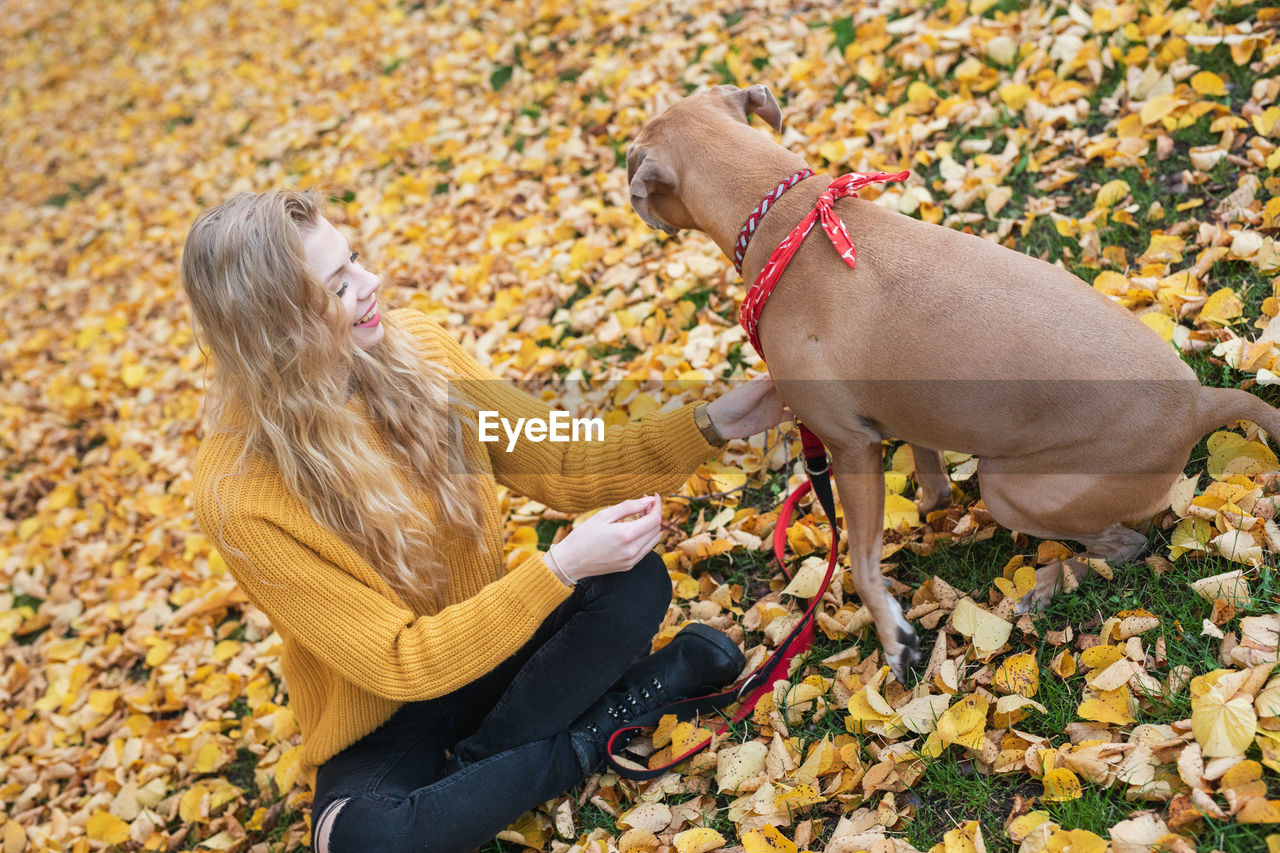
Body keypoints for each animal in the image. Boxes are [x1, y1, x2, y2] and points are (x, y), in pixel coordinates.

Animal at [627, 81, 1280, 676]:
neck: (788, 220)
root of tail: (1198, 401)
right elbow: (929, 472)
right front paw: (928, 504)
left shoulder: (849, 445)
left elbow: (861, 562)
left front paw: (893, 638)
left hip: (1014, 487)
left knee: (1124, 545)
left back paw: (1050, 580)